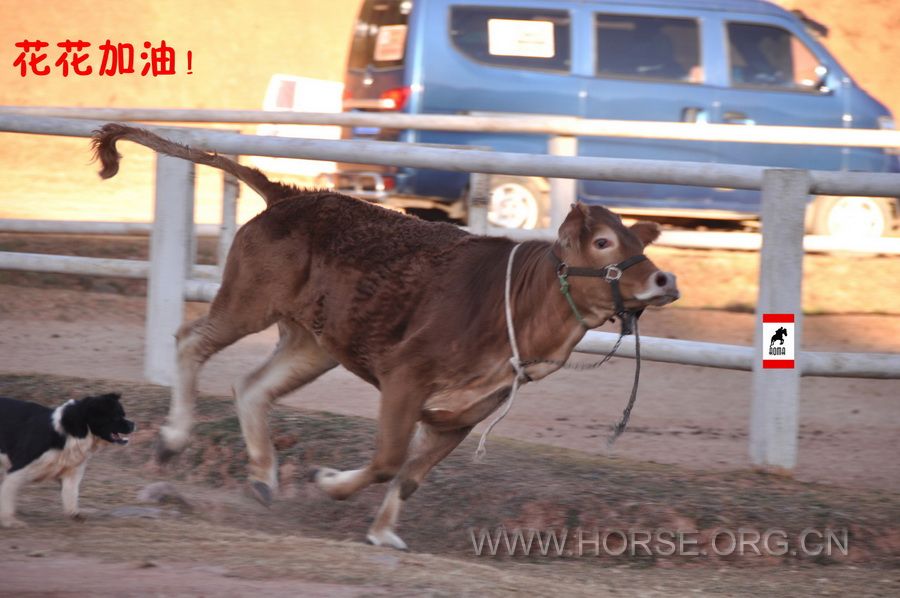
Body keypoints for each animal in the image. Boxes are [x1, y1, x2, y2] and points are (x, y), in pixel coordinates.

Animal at [0, 394, 134, 528]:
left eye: (123, 414)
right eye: (116, 416)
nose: (133, 424)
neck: (72, 432)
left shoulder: (72, 472)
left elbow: (70, 494)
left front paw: (75, 516)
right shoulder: (18, 468)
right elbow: (7, 495)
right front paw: (9, 521)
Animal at [93, 124, 684, 552]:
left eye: (638, 242)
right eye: (603, 241)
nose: (664, 280)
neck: (514, 305)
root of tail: (289, 196)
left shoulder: (460, 416)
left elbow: (409, 476)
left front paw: (381, 532)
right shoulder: (406, 376)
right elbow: (387, 460)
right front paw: (328, 483)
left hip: (313, 342)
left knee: (253, 387)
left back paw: (263, 476)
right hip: (248, 301)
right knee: (192, 341)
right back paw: (173, 438)